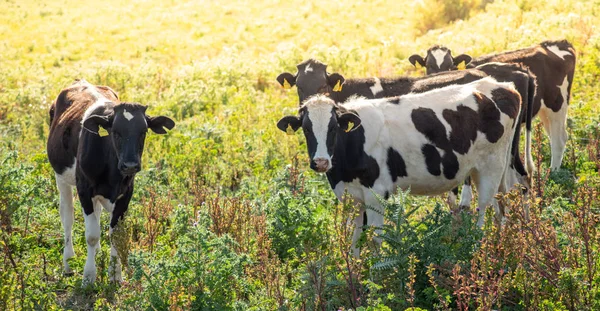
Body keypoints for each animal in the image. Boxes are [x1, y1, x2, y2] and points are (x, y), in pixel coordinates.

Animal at [47, 79, 175, 284]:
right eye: (115, 131)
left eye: (143, 131)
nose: (130, 164)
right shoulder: (84, 189)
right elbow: (91, 235)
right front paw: (88, 277)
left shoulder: (126, 193)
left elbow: (115, 235)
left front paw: (115, 275)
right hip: (61, 178)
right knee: (67, 217)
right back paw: (68, 263)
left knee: (96, 214)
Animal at [278, 77, 524, 255]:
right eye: (306, 129)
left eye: (333, 128)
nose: (321, 161)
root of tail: (503, 86)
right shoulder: (352, 197)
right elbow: (355, 241)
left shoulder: (376, 193)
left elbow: (375, 239)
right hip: (485, 171)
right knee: (500, 209)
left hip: (491, 166)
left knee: (482, 212)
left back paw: (476, 251)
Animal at [408, 39, 576, 171]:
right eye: (429, 66)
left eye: (450, 65)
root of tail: (555, 43)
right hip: (544, 110)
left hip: (557, 103)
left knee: (559, 139)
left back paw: (553, 173)